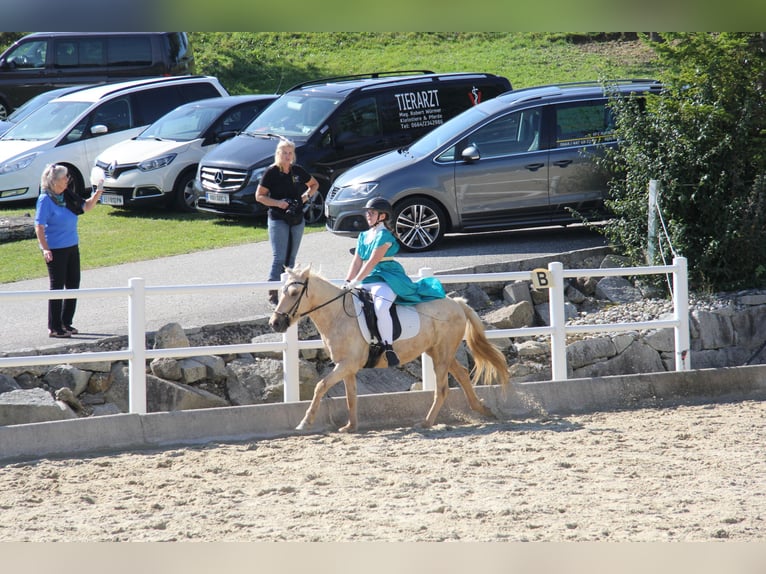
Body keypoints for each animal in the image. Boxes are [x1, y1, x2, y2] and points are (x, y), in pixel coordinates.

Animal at [270, 268, 510, 434]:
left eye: (294, 292)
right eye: (281, 293)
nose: (275, 323)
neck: (338, 314)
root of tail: (457, 303)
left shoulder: (346, 364)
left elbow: (320, 386)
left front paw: (305, 422)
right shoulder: (347, 366)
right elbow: (351, 396)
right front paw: (350, 426)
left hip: (442, 354)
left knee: (442, 389)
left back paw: (426, 422)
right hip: (438, 352)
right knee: (462, 374)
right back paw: (483, 409)